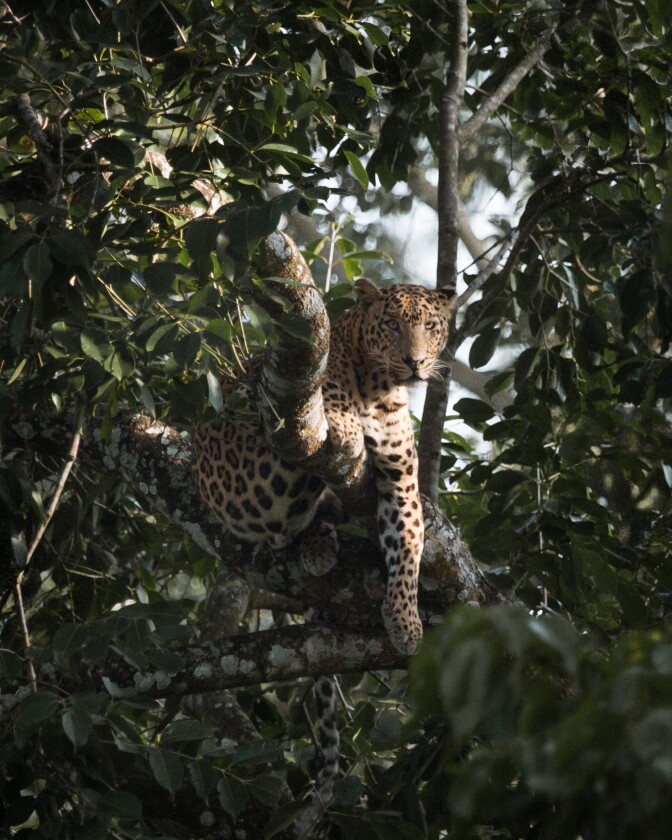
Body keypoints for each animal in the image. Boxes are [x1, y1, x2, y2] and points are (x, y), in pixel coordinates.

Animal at [193, 276, 456, 829]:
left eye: (430, 327)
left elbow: (408, 547)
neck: (380, 388)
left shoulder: (401, 481)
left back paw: (321, 545)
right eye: (392, 325)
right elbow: (334, 411)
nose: (416, 362)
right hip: (255, 467)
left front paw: (404, 623)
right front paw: (351, 428)